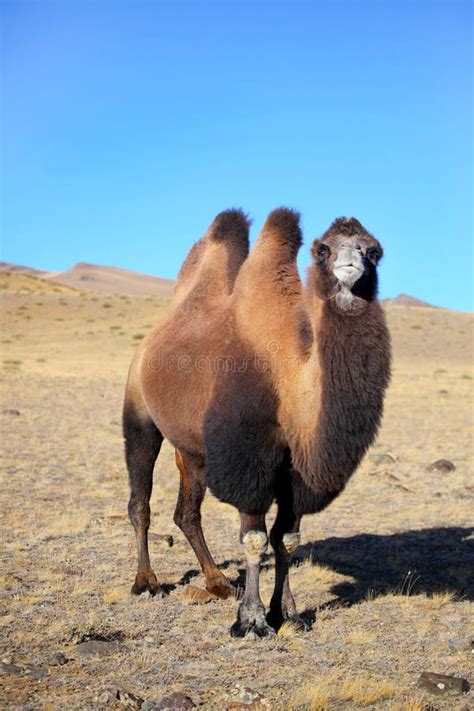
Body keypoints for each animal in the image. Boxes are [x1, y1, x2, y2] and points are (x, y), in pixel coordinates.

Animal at [124, 207, 390, 640]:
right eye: (322, 249)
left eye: (374, 251)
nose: (352, 264)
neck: (290, 382)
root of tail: (153, 339)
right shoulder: (249, 459)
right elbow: (254, 539)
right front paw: (251, 620)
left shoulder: (296, 473)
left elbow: (288, 540)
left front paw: (290, 613)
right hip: (138, 412)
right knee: (140, 500)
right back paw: (146, 582)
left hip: (193, 448)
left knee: (187, 512)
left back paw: (217, 581)